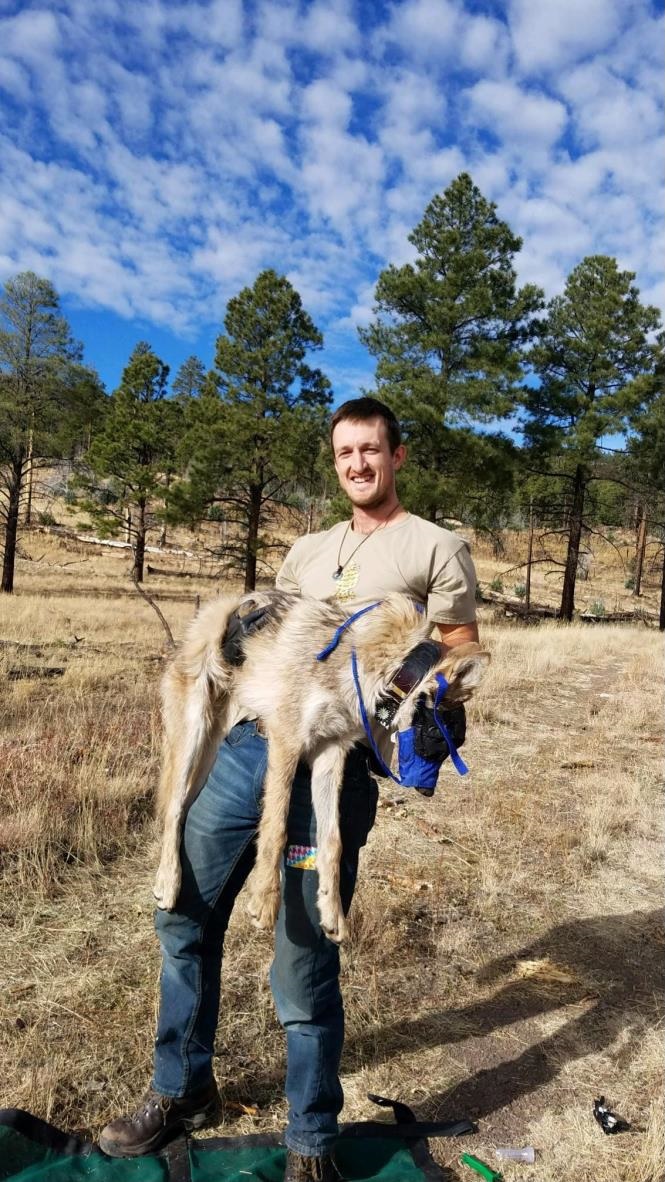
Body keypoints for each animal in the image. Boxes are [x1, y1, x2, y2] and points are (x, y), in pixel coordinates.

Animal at [154, 591, 489, 940]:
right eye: (441, 739)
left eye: (453, 745)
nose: (427, 792)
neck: (373, 669)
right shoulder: (286, 740)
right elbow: (276, 827)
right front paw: (265, 900)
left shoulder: (329, 754)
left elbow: (332, 842)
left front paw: (332, 913)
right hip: (192, 738)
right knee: (173, 809)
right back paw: (168, 882)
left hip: (207, 757)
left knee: (182, 810)